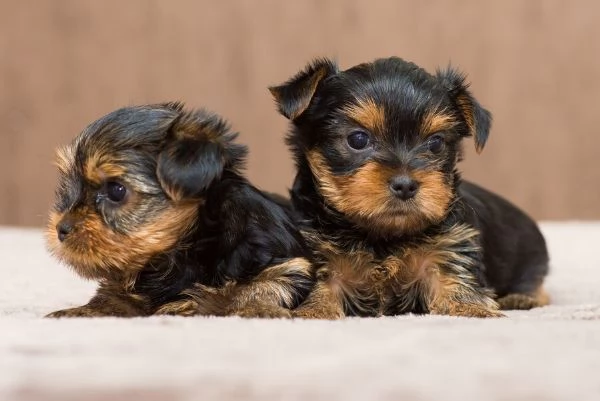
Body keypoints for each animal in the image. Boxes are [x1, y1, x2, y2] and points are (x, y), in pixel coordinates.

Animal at [44, 101, 312, 318]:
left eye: (116, 191)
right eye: (69, 186)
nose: (61, 228)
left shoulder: (287, 263)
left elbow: (264, 285)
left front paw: (257, 308)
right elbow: (111, 297)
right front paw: (80, 311)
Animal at [270, 57, 552, 318]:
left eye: (435, 143)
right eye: (358, 139)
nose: (405, 185)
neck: (381, 235)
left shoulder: (447, 249)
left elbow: (455, 279)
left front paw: (471, 309)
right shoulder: (319, 252)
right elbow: (320, 284)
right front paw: (312, 311)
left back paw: (521, 298)